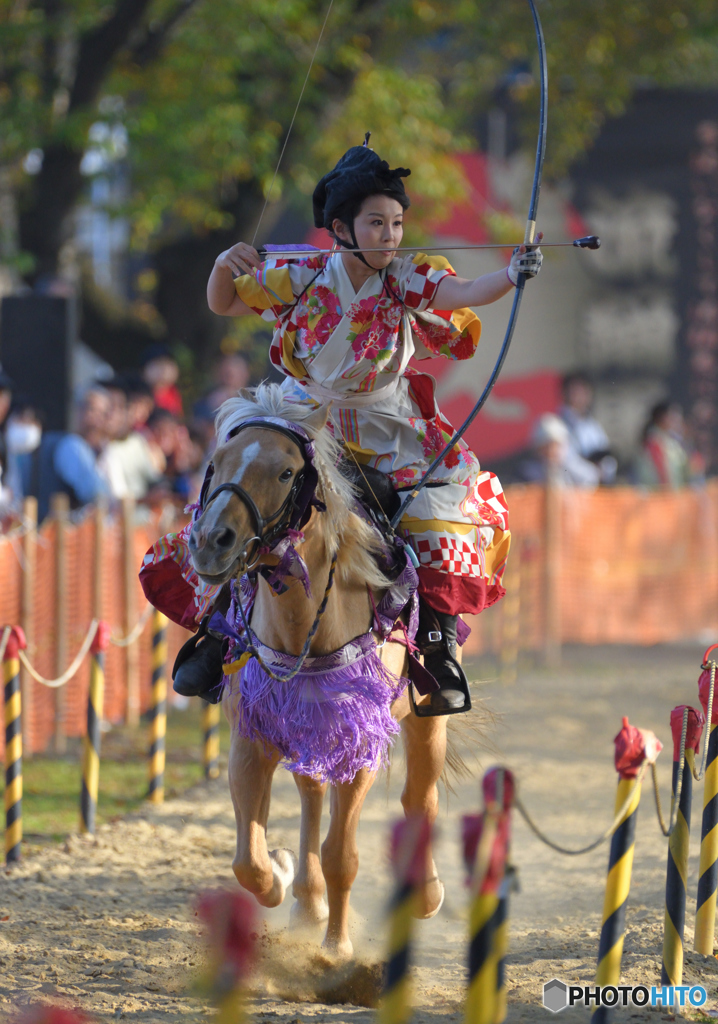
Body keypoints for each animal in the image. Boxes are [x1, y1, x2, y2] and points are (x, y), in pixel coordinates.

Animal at [187, 380, 450, 954]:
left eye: (287, 472)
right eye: (217, 463)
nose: (211, 541)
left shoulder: (360, 742)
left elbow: (342, 854)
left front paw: (336, 951)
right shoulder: (254, 734)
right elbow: (248, 861)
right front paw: (284, 877)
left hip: (427, 718)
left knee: (421, 794)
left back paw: (425, 894)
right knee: (311, 794)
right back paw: (308, 904)